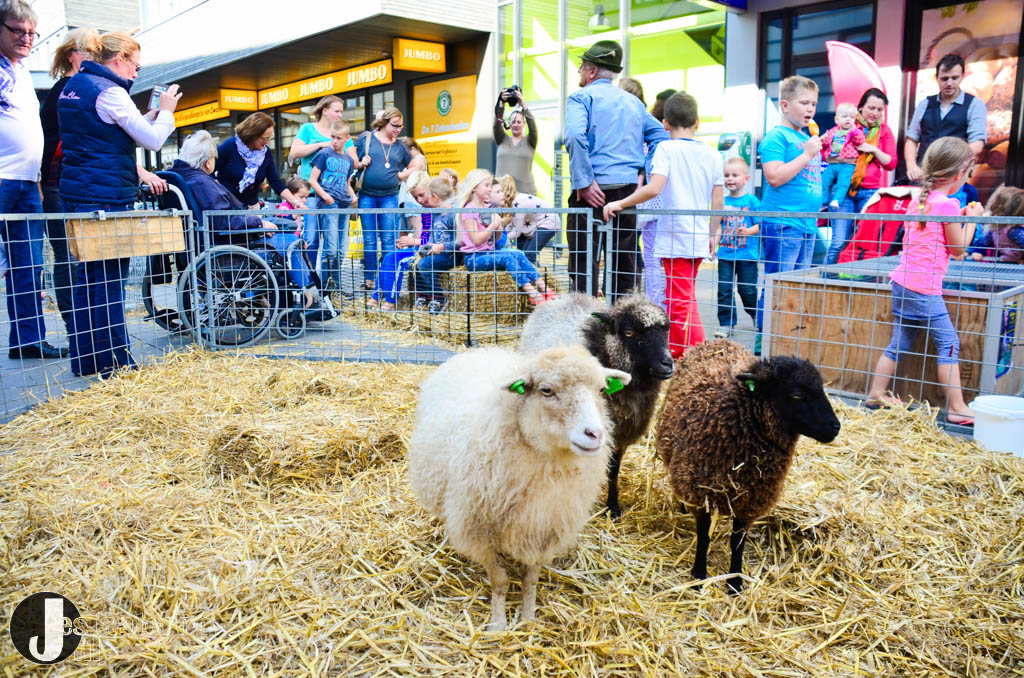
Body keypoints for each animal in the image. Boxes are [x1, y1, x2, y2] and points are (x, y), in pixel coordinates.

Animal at [408, 344, 631, 631]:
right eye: (546, 390)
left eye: (602, 389)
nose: (595, 434)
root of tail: (478, 351)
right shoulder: (481, 532)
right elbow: (500, 581)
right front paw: (498, 624)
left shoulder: (543, 529)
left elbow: (530, 579)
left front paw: (528, 617)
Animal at [519, 292, 674, 518]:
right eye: (629, 332)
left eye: (665, 330)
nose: (667, 363)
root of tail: (564, 297)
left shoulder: (620, 434)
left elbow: (613, 470)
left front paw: (613, 507)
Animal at [655, 339, 841, 594]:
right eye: (796, 394)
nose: (835, 427)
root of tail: (718, 340)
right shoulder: (701, 491)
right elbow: (703, 536)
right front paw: (699, 576)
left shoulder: (750, 499)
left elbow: (737, 542)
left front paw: (735, 581)